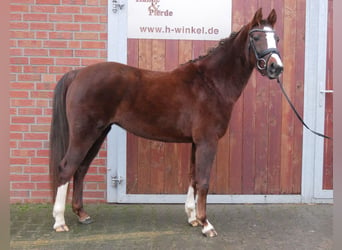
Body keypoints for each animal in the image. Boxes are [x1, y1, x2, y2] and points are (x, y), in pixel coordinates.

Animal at [48, 8, 284, 237]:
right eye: (256, 37)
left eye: (277, 38)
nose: (276, 68)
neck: (211, 83)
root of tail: (78, 73)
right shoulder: (207, 141)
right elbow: (203, 181)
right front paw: (206, 224)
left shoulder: (196, 142)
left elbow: (192, 178)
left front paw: (193, 218)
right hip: (85, 133)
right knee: (67, 167)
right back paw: (59, 221)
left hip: (98, 133)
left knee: (80, 168)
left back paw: (82, 215)